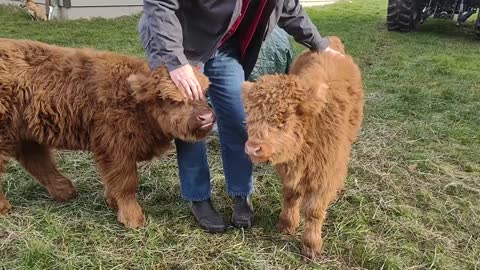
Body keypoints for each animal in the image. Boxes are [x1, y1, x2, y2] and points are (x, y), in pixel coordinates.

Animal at [0, 38, 214, 228]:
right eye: (171, 99)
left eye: (204, 93)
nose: (206, 117)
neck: (134, 102)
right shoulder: (116, 147)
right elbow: (126, 182)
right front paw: (132, 218)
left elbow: (114, 180)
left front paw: (112, 202)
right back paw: (5, 207)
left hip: (25, 134)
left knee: (37, 161)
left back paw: (65, 192)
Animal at [244, 37, 364, 258]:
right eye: (250, 116)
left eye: (283, 120)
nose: (253, 148)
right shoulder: (289, 172)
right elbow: (291, 196)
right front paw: (287, 224)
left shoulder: (324, 174)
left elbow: (314, 211)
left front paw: (311, 245)